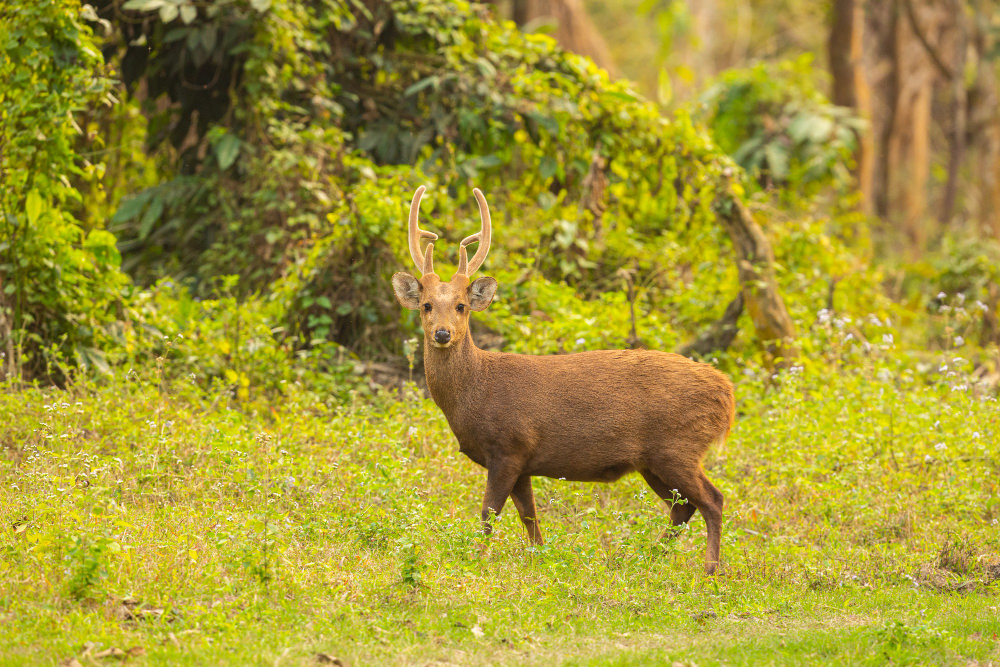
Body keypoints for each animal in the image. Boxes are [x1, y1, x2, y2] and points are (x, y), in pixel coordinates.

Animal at [391, 186, 735, 574]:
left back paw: (709, 570)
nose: (443, 333)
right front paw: (540, 560)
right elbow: (530, 519)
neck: (476, 392)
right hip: (654, 460)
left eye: (462, 306)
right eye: (426, 305)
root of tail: (727, 392)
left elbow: (489, 513)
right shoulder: (522, 461)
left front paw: (476, 559)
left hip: (678, 446)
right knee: (683, 506)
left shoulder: (509, 446)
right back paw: (643, 557)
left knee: (713, 499)